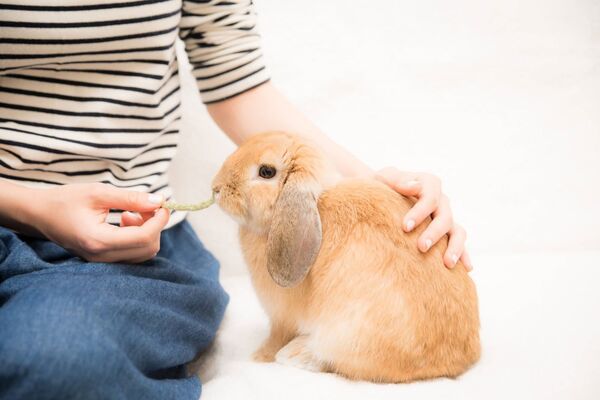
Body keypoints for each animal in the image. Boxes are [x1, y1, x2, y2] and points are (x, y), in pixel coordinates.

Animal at [213, 132, 480, 384]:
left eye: (266, 172)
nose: (216, 188)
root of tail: (457, 363)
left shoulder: (282, 317)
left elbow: (276, 336)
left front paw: (260, 356)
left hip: (348, 332)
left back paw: (295, 354)